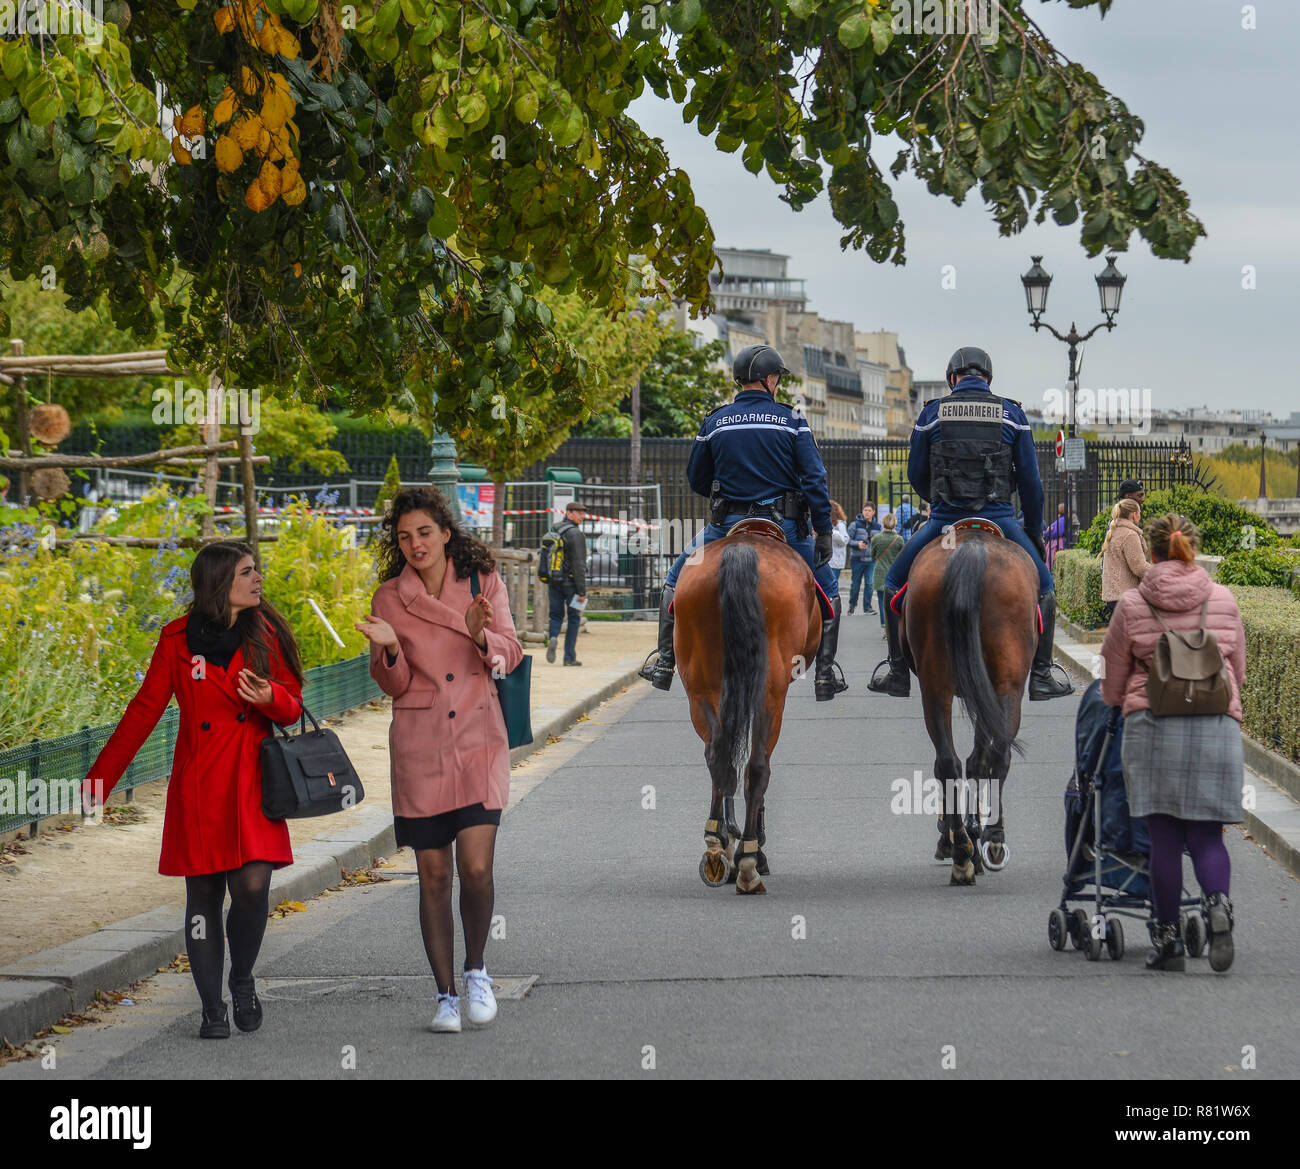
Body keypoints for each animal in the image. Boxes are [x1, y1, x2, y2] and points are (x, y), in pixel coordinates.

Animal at [676, 520, 816, 894]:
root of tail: (742, 548)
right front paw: (751, 850)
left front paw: (726, 841)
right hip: (770, 693)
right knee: (757, 766)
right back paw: (749, 861)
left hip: (700, 687)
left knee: (718, 755)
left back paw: (715, 845)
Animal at [904, 522, 1034, 889]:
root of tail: (973, 547)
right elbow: (979, 761)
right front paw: (972, 838)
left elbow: (970, 762)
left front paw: (961, 837)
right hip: (1005, 686)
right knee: (992, 756)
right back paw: (985, 841)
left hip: (938, 688)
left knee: (952, 762)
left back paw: (964, 848)